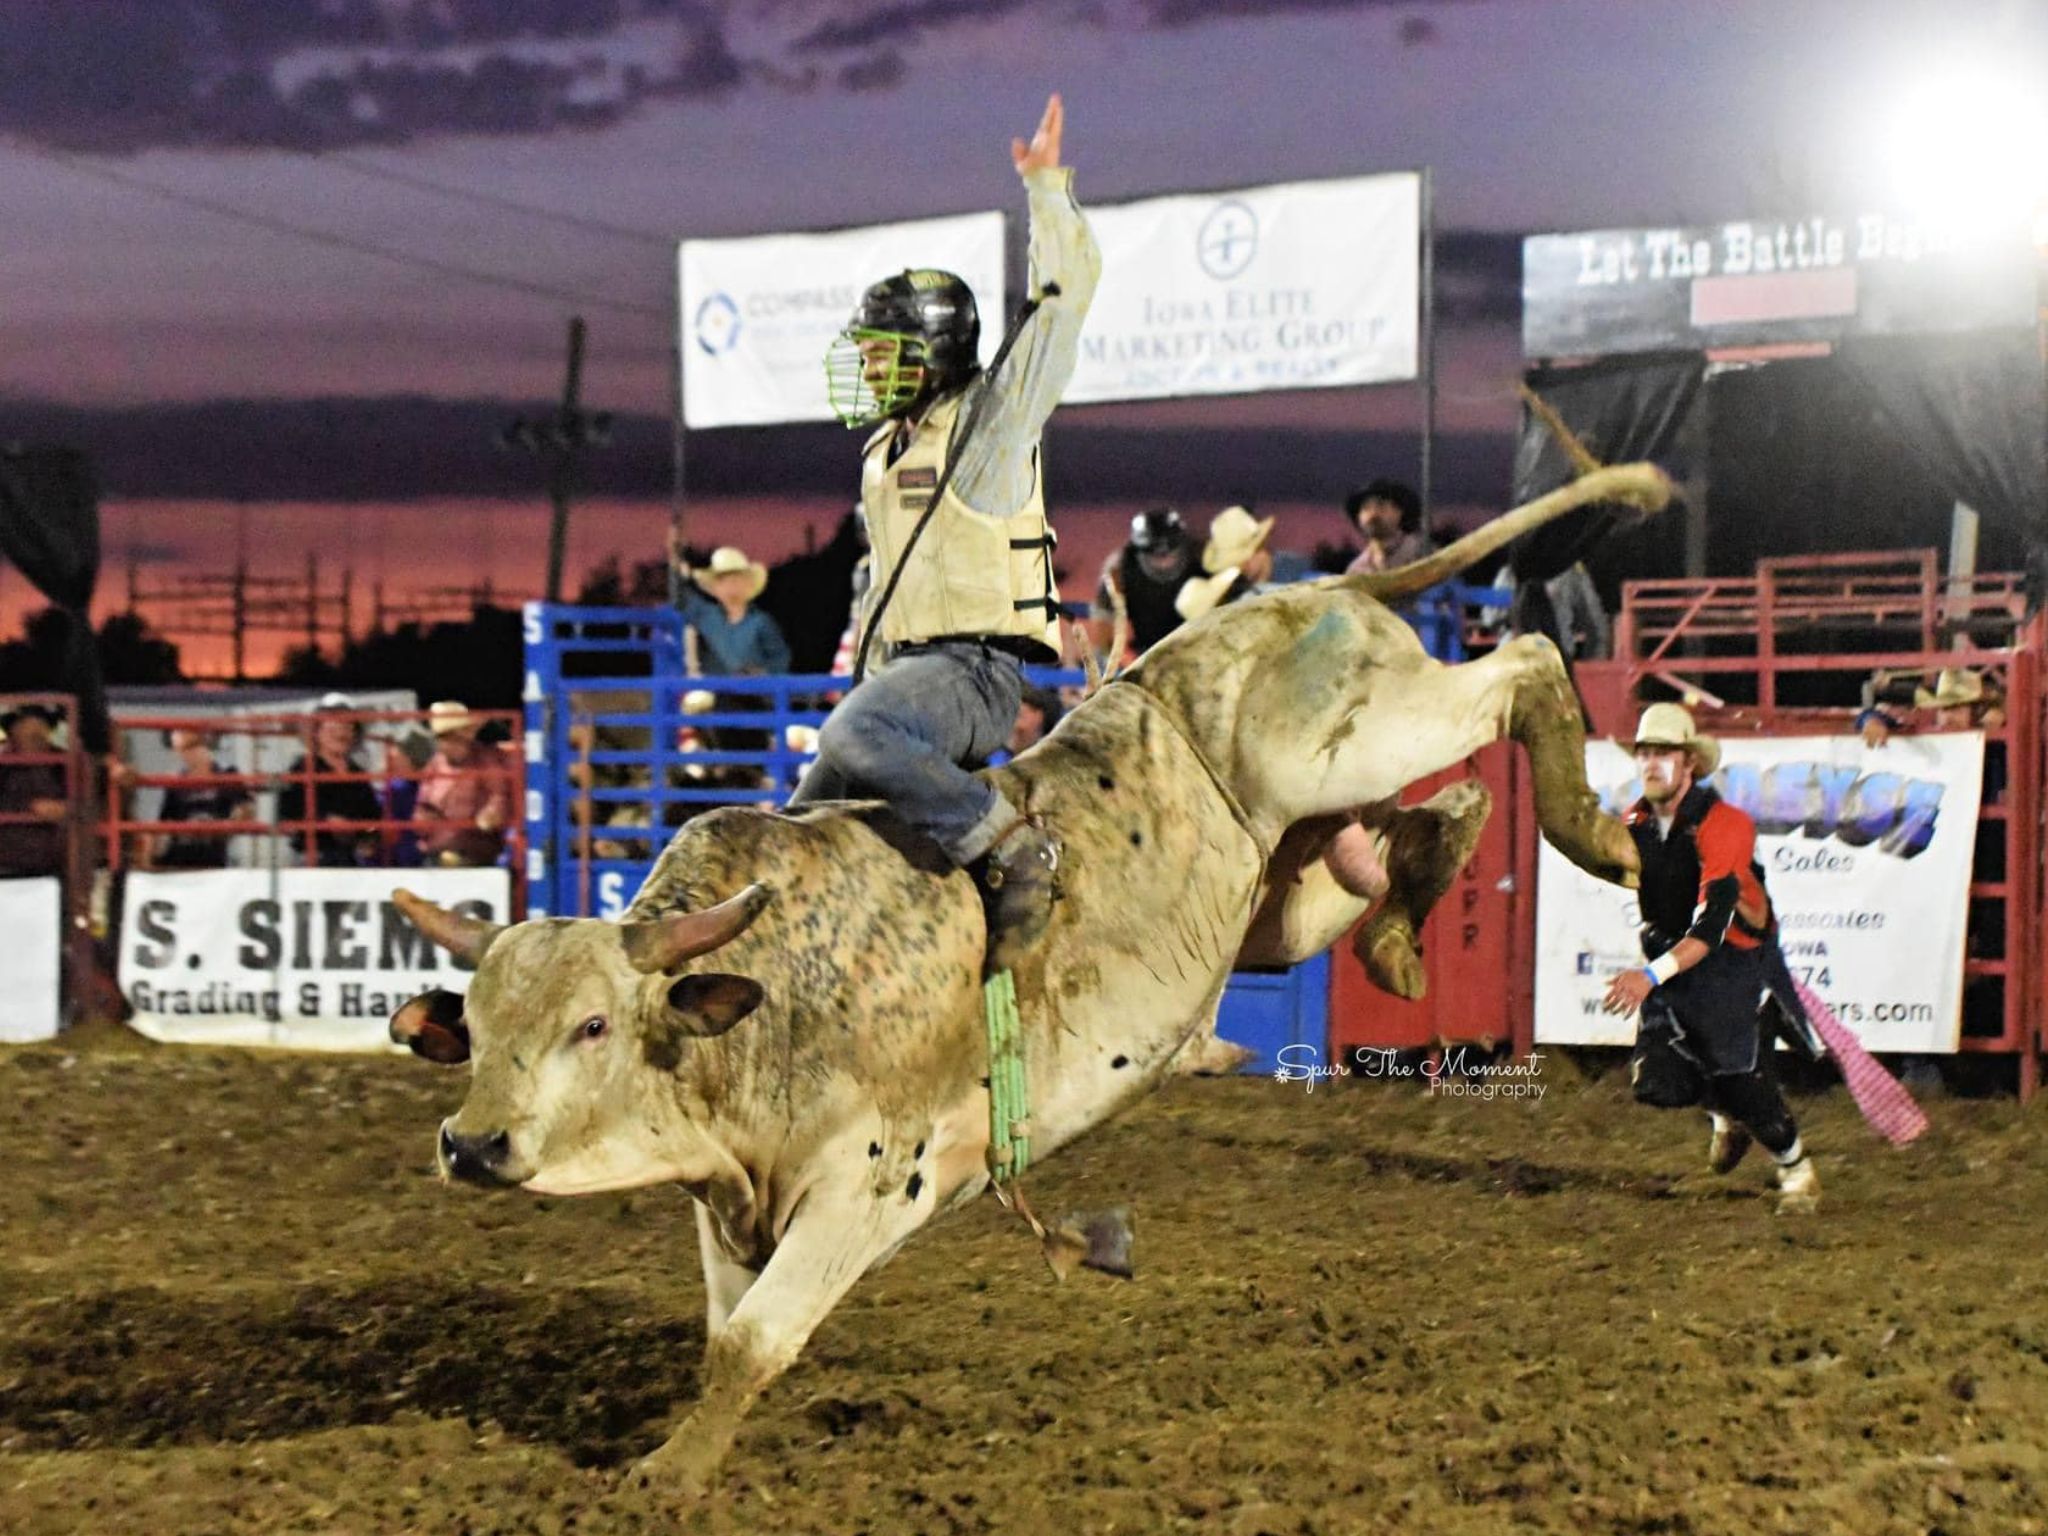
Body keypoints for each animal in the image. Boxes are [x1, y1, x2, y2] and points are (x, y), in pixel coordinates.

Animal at [391, 460, 1671, 1507]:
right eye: (478, 1028)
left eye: (592, 1024)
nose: (471, 1144)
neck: (767, 998)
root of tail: (1310, 597)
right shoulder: (726, 1202)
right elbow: (724, 1335)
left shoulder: (867, 1187)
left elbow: (752, 1341)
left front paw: (663, 1476)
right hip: (1289, 886)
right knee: (1430, 821)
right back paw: (1405, 932)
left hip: (1349, 740)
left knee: (1518, 670)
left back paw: (1597, 833)